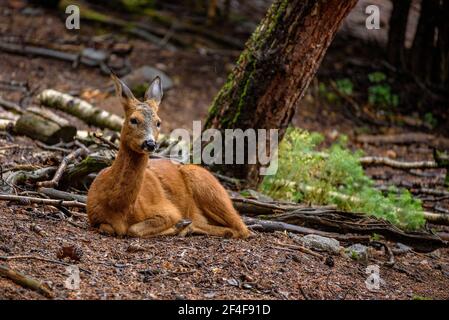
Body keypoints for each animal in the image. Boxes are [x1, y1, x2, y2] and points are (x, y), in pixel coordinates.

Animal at [87, 74, 248, 238]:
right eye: (133, 120)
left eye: (158, 122)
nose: (150, 143)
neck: (118, 207)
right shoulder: (93, 216)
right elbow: (107, 227)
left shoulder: (168, 210)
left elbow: (134, 230)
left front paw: (179, 225)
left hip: (207, 187)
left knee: (241, 229)